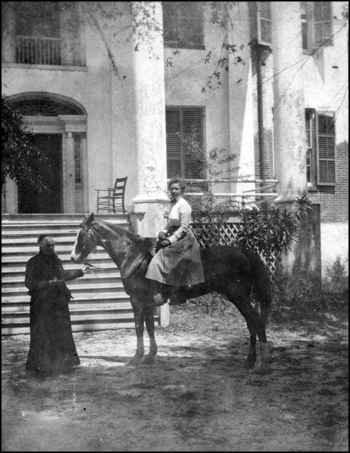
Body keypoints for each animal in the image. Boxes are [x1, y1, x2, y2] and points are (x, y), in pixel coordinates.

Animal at [71, 214, 272, 372]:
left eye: (81, 234)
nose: (73, 257)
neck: (134, 256)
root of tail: (245, 252)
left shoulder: (136, 301)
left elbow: (138, 328)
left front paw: (136, 358)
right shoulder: (147, 303)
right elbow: (150, 327)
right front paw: (150, 357)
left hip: (238, 296)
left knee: (256, 321)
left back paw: (263, 364)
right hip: (241, 297)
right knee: (251, 323)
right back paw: (250, 361)